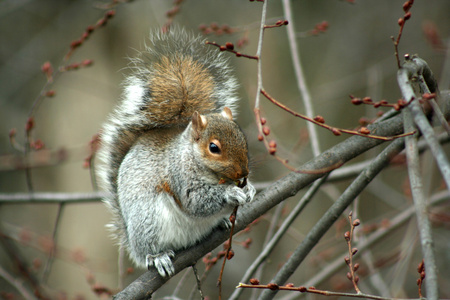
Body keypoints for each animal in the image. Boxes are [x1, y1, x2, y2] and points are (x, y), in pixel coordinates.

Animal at [96, 29, 255, 278]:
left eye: (242, 137)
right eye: (213, 148)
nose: (243, 174)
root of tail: (131, 240)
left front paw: (250, 189)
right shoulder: (179, 176)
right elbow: (196, 201)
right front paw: (231, 193)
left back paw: (223, 223)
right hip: (147, 220)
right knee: (148, 250)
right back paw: (157, 257)